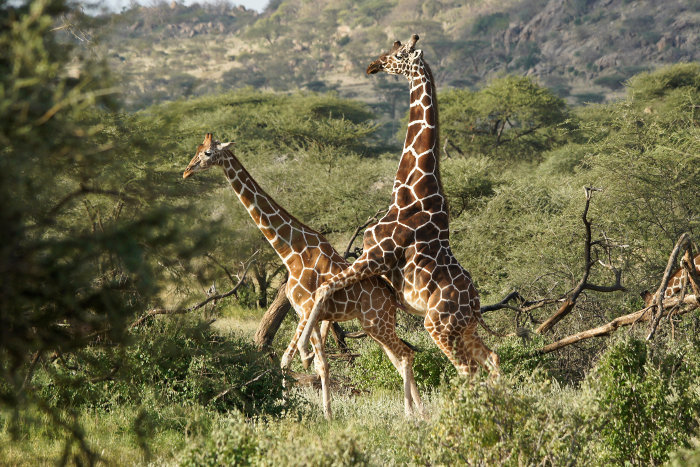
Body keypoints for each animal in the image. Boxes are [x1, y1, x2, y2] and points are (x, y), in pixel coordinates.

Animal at [183, 133, 422, 418]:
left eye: (207, 153)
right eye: (197, 150)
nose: (186, 171)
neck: (292, 252)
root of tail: (392, 295)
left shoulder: (307, 309)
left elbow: (302, 359)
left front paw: (313, 412)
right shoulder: (306, 313)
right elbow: (309, 363)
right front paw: (309, 411)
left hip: (377, 322)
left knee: (406, 355)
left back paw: (413, 415)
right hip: (373, 325)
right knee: (399, 357)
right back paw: (420, 412)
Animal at [298, 34, 500, 378]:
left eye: (400, 53)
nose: (373, 64)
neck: (410, 193)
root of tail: (475, 305)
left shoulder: (374, 257)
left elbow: (324, 288)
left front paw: (303, 351)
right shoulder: (374, 267)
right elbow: (327, 291)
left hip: (439, 326)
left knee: (468, 370)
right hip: (465, 330)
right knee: (492, 359)